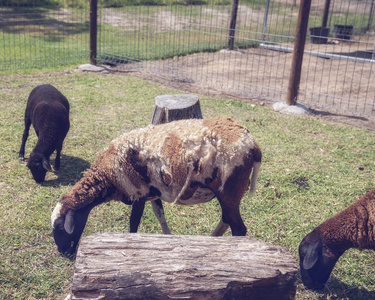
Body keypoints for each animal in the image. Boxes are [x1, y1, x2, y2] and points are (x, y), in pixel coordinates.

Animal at [50, 117, 262, 255]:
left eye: (60, 227)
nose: (62, 252)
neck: (108, 175)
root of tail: (252, 144)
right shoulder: (153, 194)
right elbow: (160, 217)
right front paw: (168, 239)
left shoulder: (138, 193)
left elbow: (133, 223)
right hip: (229, 193)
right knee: (227, 220)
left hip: (228, 190)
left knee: (238, 229)